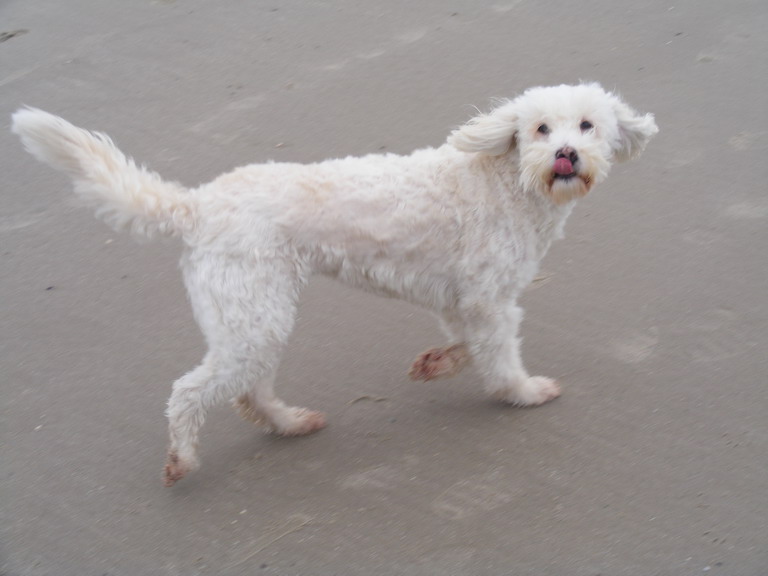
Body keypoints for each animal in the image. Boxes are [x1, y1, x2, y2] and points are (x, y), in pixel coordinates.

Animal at [12, 83, 658, 486]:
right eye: (541, 128)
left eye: (587, 125)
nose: (567, 153)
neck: (507, 180)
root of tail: (196, 206)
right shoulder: (489, 298)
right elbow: (498, 358)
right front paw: (522, 392)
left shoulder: (462, 298)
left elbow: (463, 343)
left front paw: (436, 364)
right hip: (253, 316)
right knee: (190, 393)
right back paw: (183, 459)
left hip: (257, 316)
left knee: (250, 391)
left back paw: (290, 423)